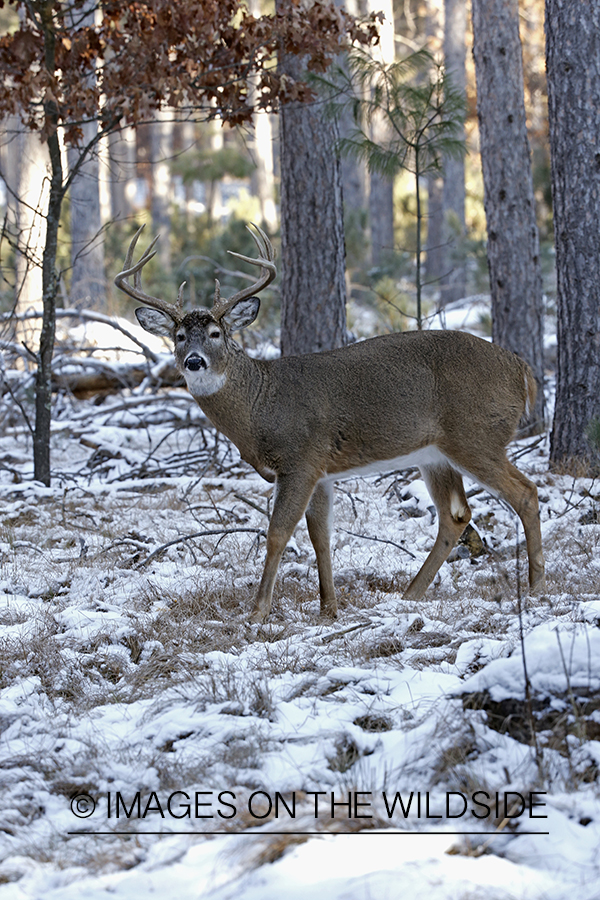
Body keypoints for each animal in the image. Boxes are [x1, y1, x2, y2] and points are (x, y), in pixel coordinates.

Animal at [115, 221, 548, 624]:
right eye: (179, 336)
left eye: (216, 332)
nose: (194, 361)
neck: (261, 405)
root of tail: (522, 369)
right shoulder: (322, 472)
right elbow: (320, 536)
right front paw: (329, 608)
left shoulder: (301, 459)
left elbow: (277, 533)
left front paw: (257, 612)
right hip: (434, 454)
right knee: (456, 514)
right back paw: (410, 595)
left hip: (476, 435)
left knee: (525, 492)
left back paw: (537, 586)